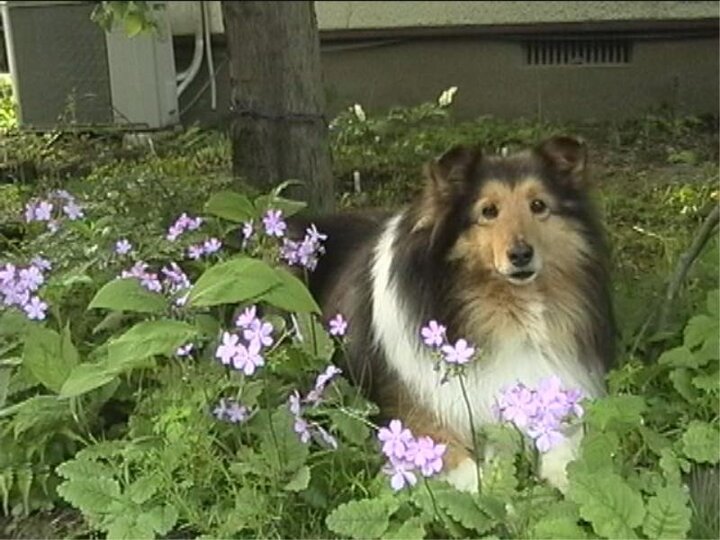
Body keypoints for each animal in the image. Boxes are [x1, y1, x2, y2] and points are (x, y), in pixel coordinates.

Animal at [296, 136, 616, 494]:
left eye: (538, 205)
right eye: (488, 211)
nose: (521, 254)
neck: (509, 316)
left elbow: (567, 459)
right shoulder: (415, 418)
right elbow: (474, 480)